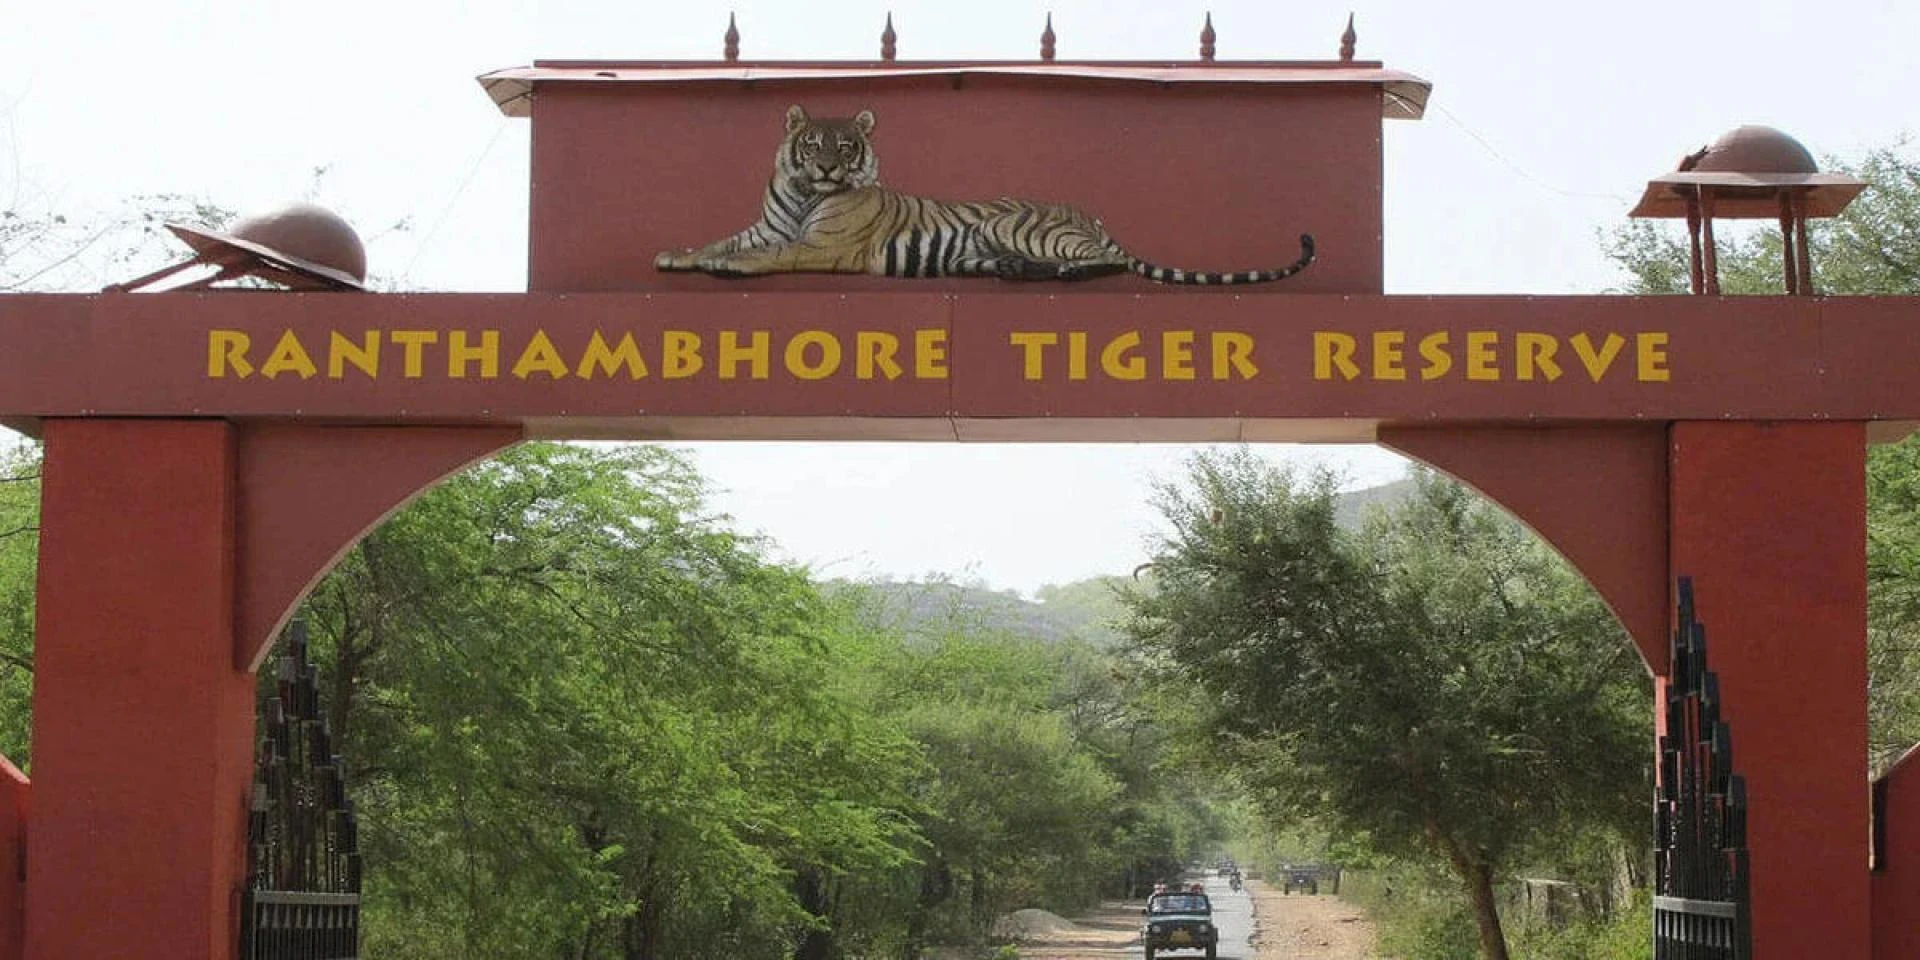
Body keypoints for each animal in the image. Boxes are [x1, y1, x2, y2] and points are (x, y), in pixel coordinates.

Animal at [653, 105, 1315, 285]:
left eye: (845, 147)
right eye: (813, 141)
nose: (824, 167)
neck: (803, 195)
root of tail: (1093, 216)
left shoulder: (822, 247)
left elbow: (770, 254)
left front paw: (729, 265)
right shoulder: (762, 224)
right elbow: (720, 238)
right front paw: (676, 254)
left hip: (1013, 223)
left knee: (1106, 263)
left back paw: (1060, 272)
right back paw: (1016, 271)